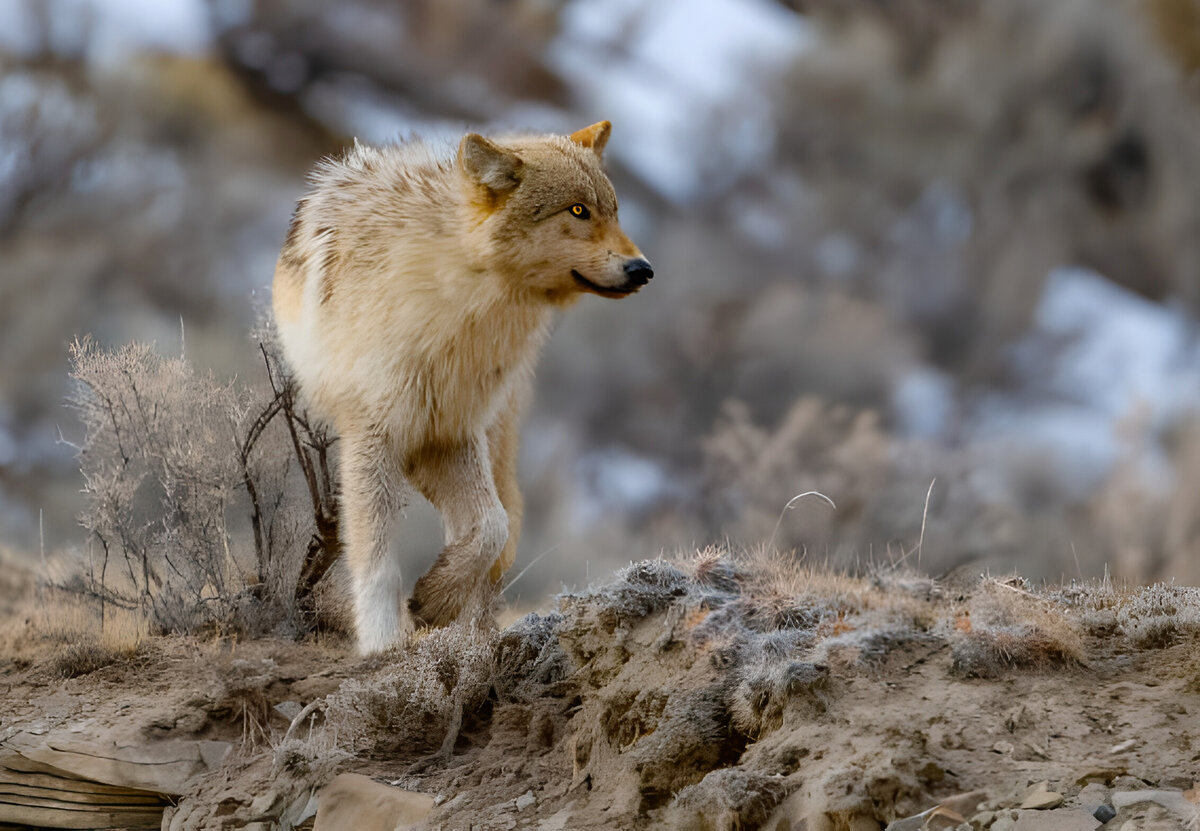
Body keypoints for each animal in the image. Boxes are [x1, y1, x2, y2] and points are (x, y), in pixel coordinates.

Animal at [272, 120, 652, 653]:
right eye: (578, 210)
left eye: (614, 211)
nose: (643, 269)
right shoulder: (374, 438)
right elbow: (378, 563)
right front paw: (382, 644)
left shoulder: (449, 433)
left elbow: (490, 528)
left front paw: (437, 599)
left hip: (494, 437)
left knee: (499, 527)